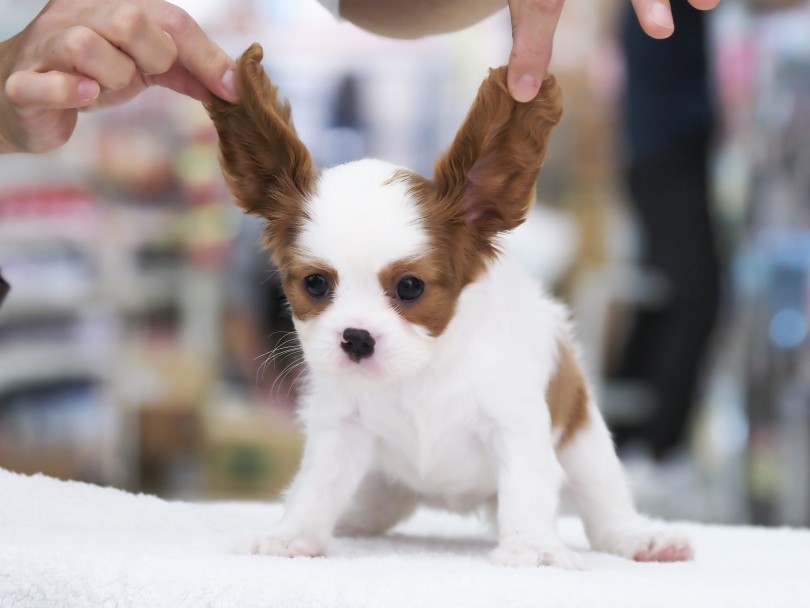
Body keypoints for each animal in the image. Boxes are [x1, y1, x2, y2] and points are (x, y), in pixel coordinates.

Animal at [205, 44, 692, 568]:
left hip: (586, 446)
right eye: (316, 284)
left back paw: (641, 539)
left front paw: (532, 548)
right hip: (381, 482)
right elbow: (317, 485)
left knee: (604, 511)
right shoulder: (341, 429)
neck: (423, 369)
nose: (356, 338)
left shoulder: (516, 423)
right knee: (370, 507)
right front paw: (293, 535)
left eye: (410, 288)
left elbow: (526, 486)